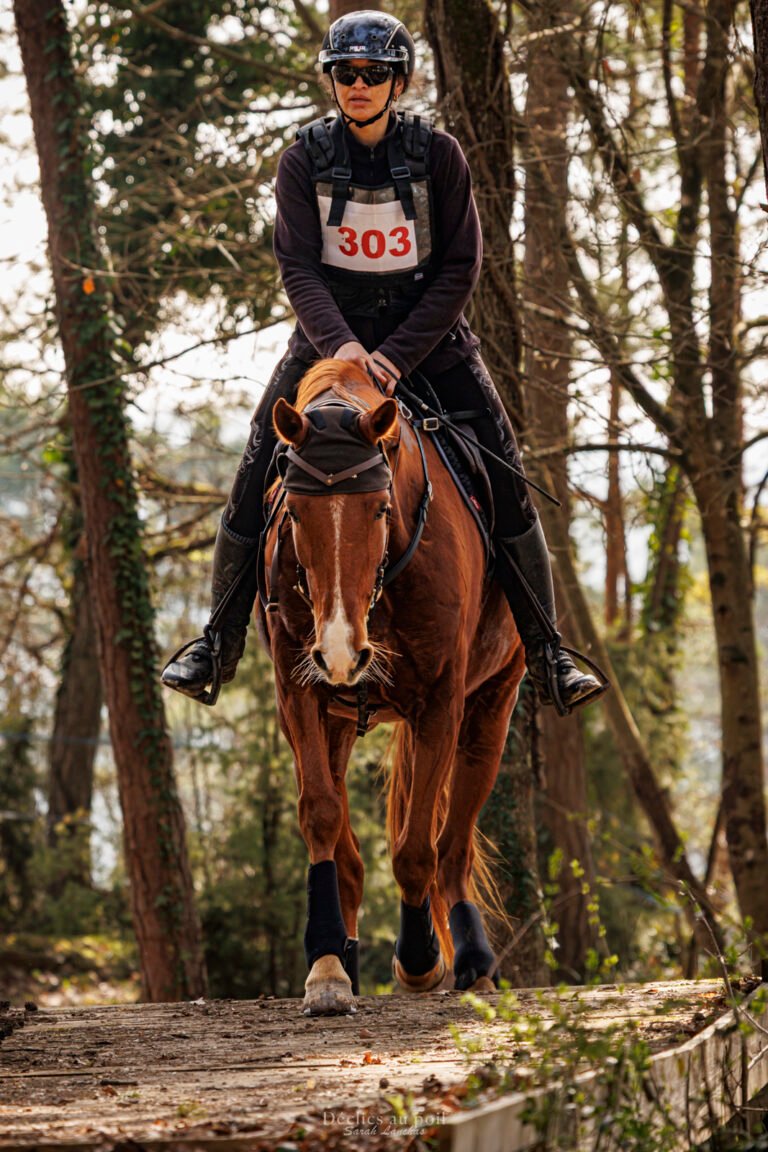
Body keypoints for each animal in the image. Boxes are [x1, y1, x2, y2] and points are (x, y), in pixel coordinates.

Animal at [261, 358, 525, 1015]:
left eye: (380, 509)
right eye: (293, 513)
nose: (339, 651)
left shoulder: (440, 703)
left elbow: (414, 849)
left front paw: (421, 959)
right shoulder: (299, 693)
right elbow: (321, 815)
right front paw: (328, 966)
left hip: (491, 708)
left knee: (452, 846)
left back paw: (473, 960)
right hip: (336, 720)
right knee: (354, 854)